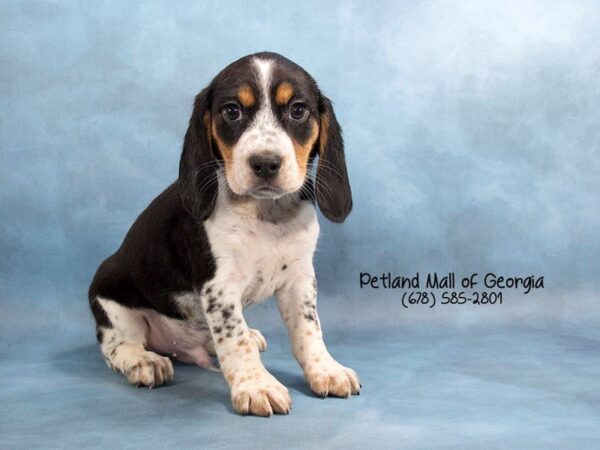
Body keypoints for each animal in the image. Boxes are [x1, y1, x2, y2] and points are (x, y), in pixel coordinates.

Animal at [88, 51, 360, 414]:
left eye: (298, 110)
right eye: (232, 111)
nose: (265, 163)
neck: (266, 214)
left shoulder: (300, 279)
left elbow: (308, 330)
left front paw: (326, 370)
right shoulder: (219, 287)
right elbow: (234, 338)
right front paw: (257, 385)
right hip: (110, 299)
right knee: (116, 347)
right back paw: (143, 361)